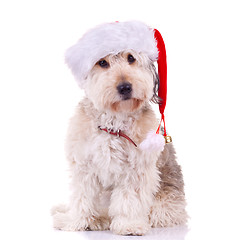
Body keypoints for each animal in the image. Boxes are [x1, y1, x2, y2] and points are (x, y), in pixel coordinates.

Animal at [51, 21, 188, 236]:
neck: (114, 123)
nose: (125, 87)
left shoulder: (136, 169)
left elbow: (129, 200)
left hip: (165, 207)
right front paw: (75, 221)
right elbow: (82, 197)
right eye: (102, 63)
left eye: (131, 58)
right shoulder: (84, 164)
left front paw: (129, 224)